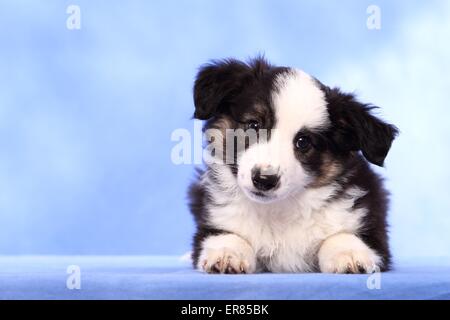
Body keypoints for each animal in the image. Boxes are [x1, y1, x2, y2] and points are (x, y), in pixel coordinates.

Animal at [188, 57, 400, 272]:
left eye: (303, 142)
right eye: (254, 125)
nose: (264, 180)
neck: (279, 209)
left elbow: (341, 235)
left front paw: (349, 253)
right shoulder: (214, 219)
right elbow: (227, 235)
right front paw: (226, 253)